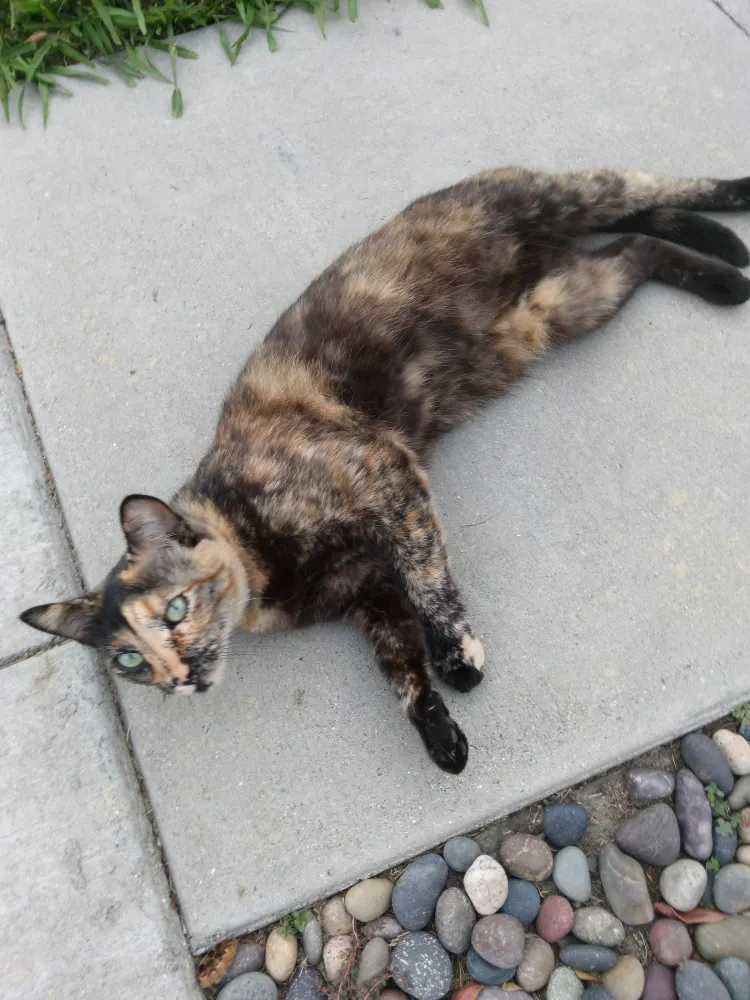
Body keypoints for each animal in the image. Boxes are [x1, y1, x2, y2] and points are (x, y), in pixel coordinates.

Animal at [21, 166, 750, 773]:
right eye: (128, 660)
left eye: (175, 608)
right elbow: (400, 664)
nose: (176, 677)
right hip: (562, 306)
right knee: (636, 244)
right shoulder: (368, 595)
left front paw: (457, 653)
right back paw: (721, 271)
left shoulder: (386, 473)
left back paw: (731, 229)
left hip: (556, 200)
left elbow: (428, 577)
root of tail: (542, 245)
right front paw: (440, 733)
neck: (263, 567)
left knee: (648, 187)